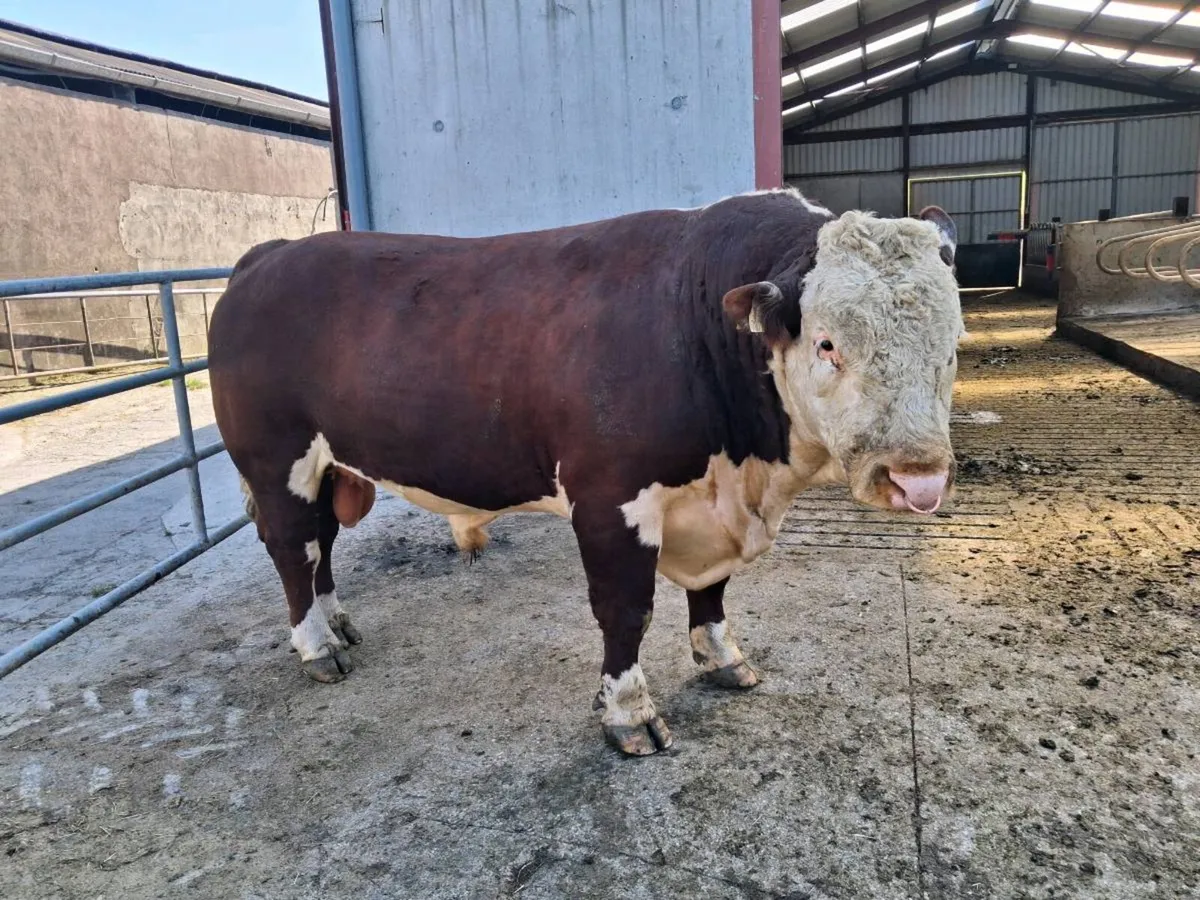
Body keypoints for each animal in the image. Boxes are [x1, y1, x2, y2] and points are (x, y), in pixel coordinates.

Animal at [208, 189, 963, 756]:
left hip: (328, 465)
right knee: (292, 548)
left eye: (953, 344)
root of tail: (273, 253)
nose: (917, 479)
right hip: (275, 459)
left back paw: (336, 623)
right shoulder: (610, 498)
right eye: (828, 343)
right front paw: (628, 712)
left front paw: (723, 657)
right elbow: (626, 610)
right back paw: (315, 646)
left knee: (321, 544)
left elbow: (712, 592)